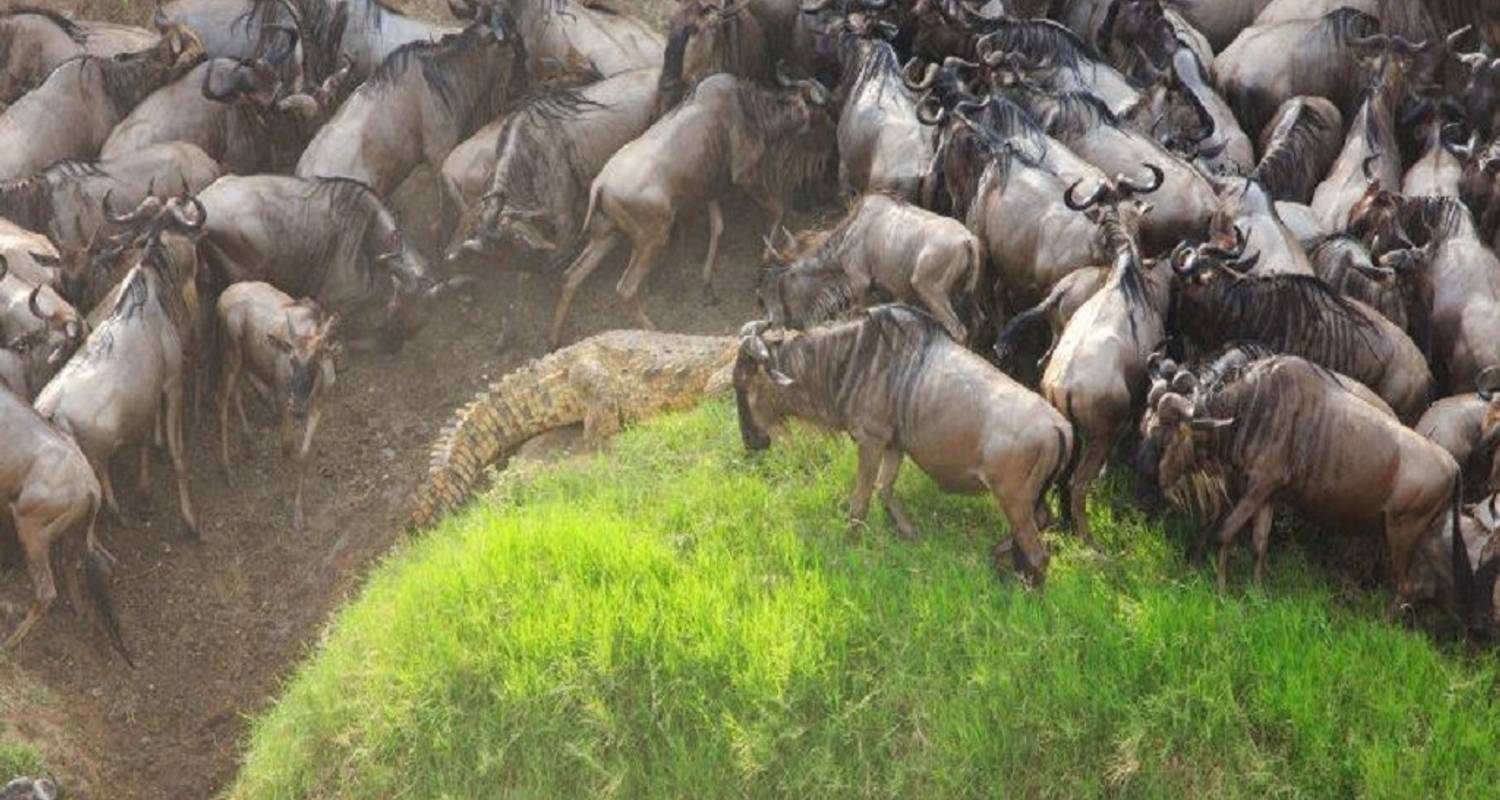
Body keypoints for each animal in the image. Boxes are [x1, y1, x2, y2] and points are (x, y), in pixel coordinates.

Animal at [216, 280, 339, 531]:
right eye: (292, 359)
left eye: (316, 362)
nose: (297, 405)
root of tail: (222, 296)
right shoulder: (282, 396)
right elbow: (287, 446)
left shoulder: (319, 404)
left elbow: (304, 454)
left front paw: (298, 511)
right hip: (230, 354)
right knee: (222, 401)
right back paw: (228, 469)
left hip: (246, 359)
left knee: (236, 390)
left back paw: (248, 438)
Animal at [732, 309, 1074, 582]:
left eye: (743, 384)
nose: (751, 441)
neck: (853, 358)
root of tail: (1060, 427)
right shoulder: (894, 445)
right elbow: (884, 488)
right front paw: (910, 533)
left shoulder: (870, 441)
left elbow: (860, 502)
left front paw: (849, 544)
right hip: (1031, 499)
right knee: (1042, 523)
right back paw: (1000, 556)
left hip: (1012, 499)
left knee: (1037, 552)